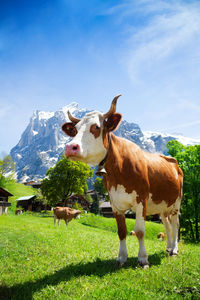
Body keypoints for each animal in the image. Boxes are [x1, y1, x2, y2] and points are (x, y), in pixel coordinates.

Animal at [61, 95, 183, 266]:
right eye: (75, 130)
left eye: (96, 127)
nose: (70, 147)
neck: (118, 172)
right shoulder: (115, 204)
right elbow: (121, 231)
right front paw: (121, 258)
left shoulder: (141, 200)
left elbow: (139, 231)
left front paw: (143, 259)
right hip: (163, 206)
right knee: (167, 225)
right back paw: (168, 247)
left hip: (176, 204)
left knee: (175, 224)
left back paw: (174, 250)